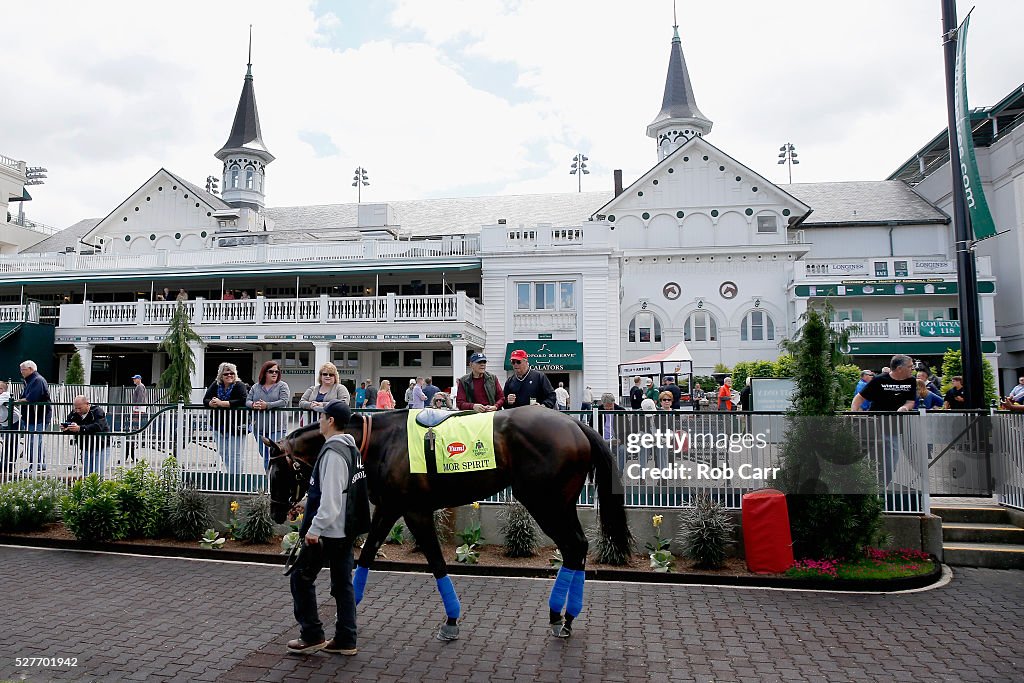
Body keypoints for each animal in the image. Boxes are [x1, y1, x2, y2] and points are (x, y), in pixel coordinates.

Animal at [266, 405, 630, 643]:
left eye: (279, 471)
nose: (276, 513)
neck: (382, 441)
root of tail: (574, 425)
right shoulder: (389, 508)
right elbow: (366, 556)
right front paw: (347, 612)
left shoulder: (415, 511)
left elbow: (437, 562)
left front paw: (451, 620)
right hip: (561, 504)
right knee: (576, 547)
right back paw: (562, 616)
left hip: (545, 503)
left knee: (573, 545)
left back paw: (563, 616)